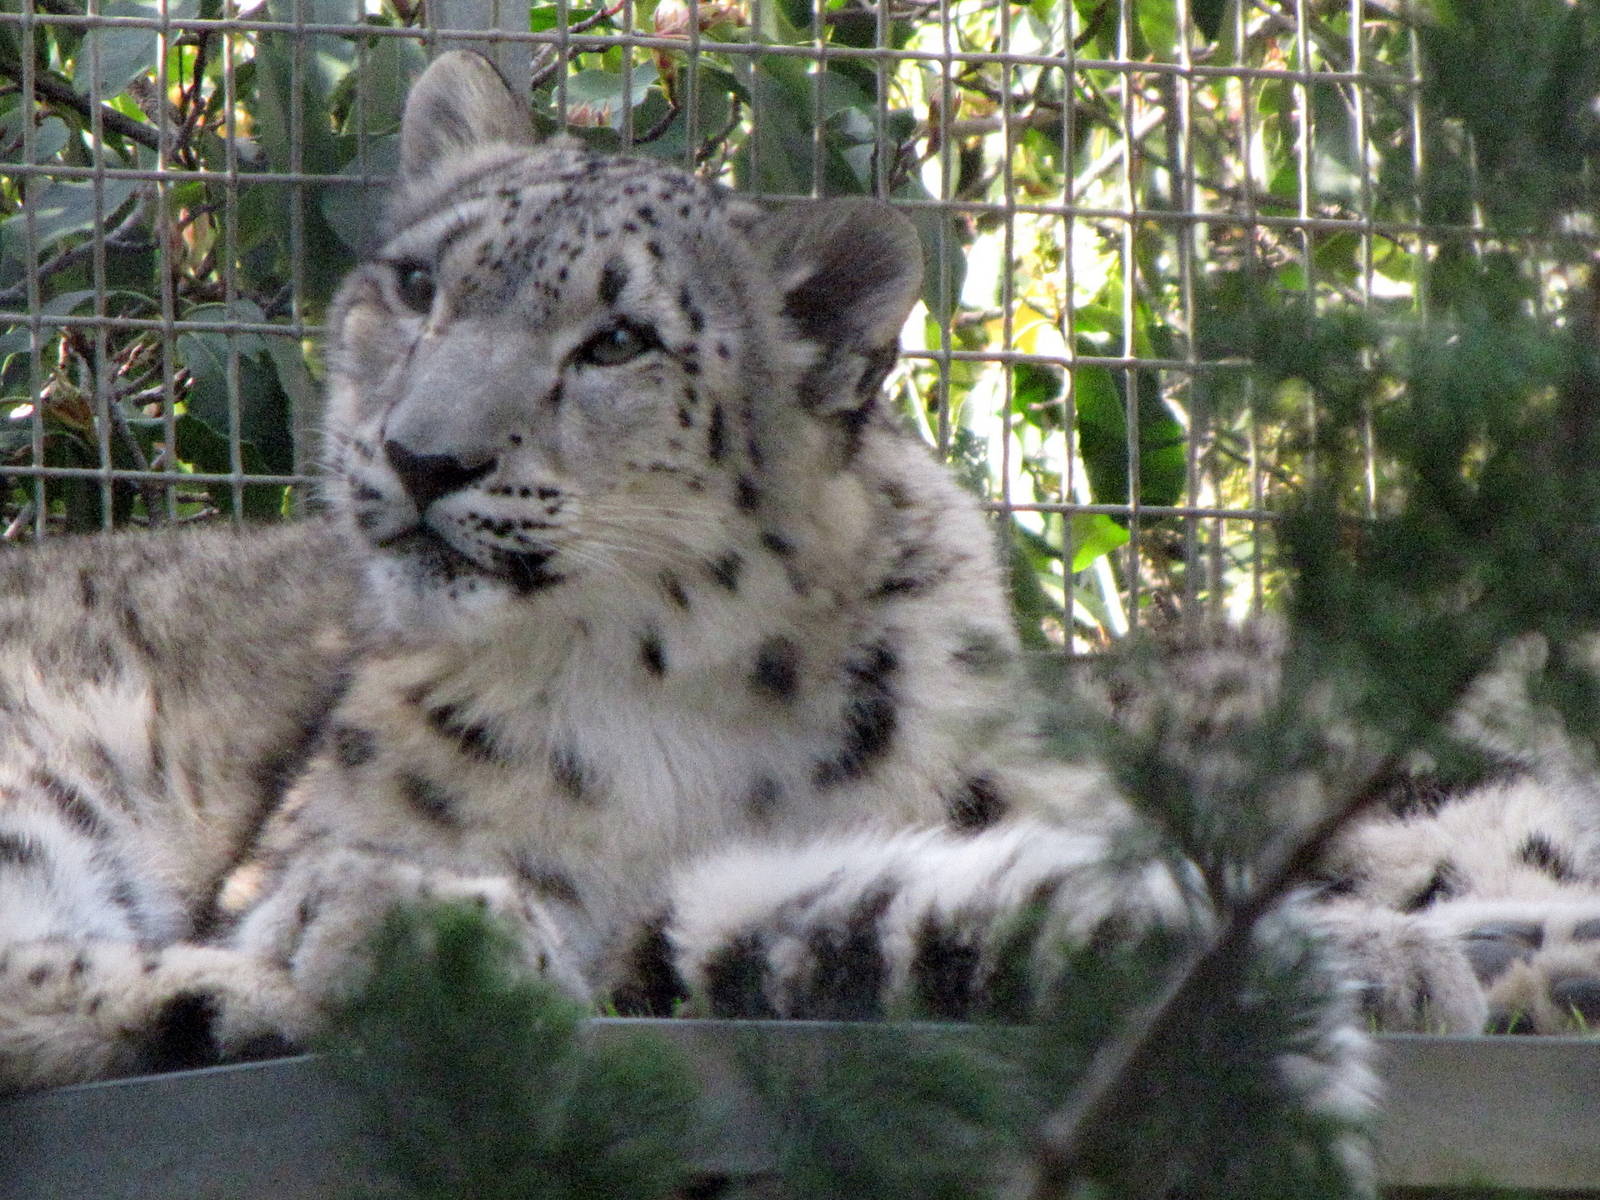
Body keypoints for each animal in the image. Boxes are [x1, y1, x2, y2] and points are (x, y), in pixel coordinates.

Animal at [0, 50, 1377, 1178]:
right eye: (416, 281)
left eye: (619, 342)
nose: (420, 456)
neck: (670, 695)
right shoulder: (300, 840)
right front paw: (411, 916)